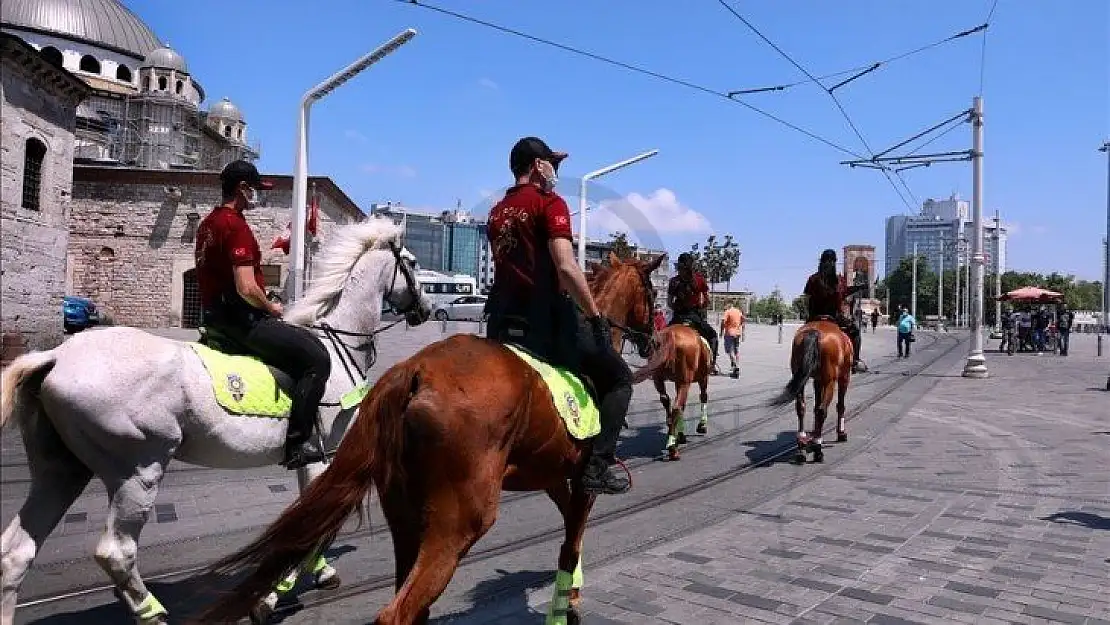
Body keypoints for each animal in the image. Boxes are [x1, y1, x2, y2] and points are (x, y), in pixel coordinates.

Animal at [0, 216, 428, 625]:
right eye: (411, 263)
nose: (425, 310)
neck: (339, 346)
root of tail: (56, 356)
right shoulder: (327, 456)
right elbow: (313, 528)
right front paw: (272, 594)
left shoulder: (311, 458)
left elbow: (307, 520)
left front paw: (318, 573)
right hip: (138, 471)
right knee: (115, 551)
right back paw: (151, 613)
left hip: (62, 470)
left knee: (16, 553)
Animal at [195, 251, 661, 625]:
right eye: (651, 292)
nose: (654, 337)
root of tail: (412, 371)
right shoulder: (583, 485)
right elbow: (572, 540)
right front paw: (568, 605)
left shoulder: (552, 478)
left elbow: (568, 532)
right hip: (459, 523)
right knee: (398, 612)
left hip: (405, 518)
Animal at [626, 319, 710, 461]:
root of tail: (672, 335)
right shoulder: (701, 378)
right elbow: (703, 397)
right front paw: (702, 425)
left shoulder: (676, 381)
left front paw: (680, 434)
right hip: (687, 381)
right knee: (677, 407)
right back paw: (672, 448)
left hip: (659, 378)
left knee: (666, 400)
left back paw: (672, 433)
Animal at [772, 317, 848, 464]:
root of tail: (815, 332)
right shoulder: (844, 377)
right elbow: (840, 406)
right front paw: (841, 433)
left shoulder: (817, 380)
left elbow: (815, 406)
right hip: (829, 381)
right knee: (822, 410)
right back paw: (818, 449)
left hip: (801, 376)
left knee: (801, 407)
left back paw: (802, 445)